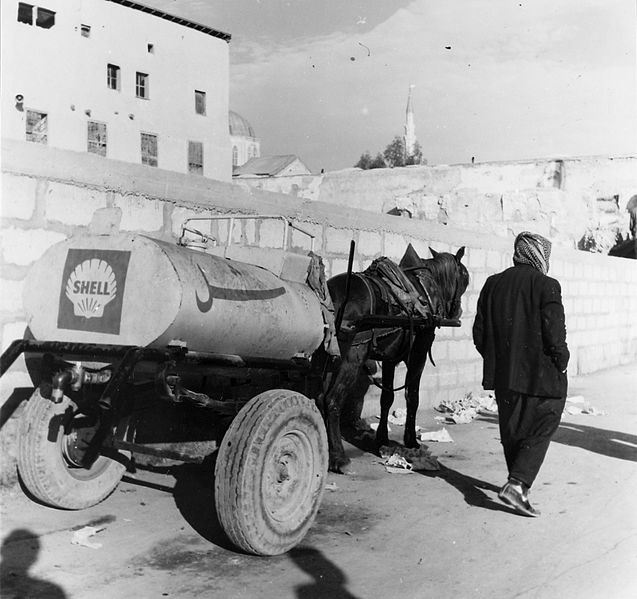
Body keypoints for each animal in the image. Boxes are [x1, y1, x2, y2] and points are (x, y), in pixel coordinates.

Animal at [320, 244, 470, 474]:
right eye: (465, 277)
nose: (458, 310)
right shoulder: (418, 354)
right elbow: (412, 396)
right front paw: (411, 440)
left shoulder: (390, 357)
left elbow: (387, 398)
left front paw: (382, 438)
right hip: (352, 356)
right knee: (332, 400)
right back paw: (338, 457)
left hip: (329, 357)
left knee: (320, 397)